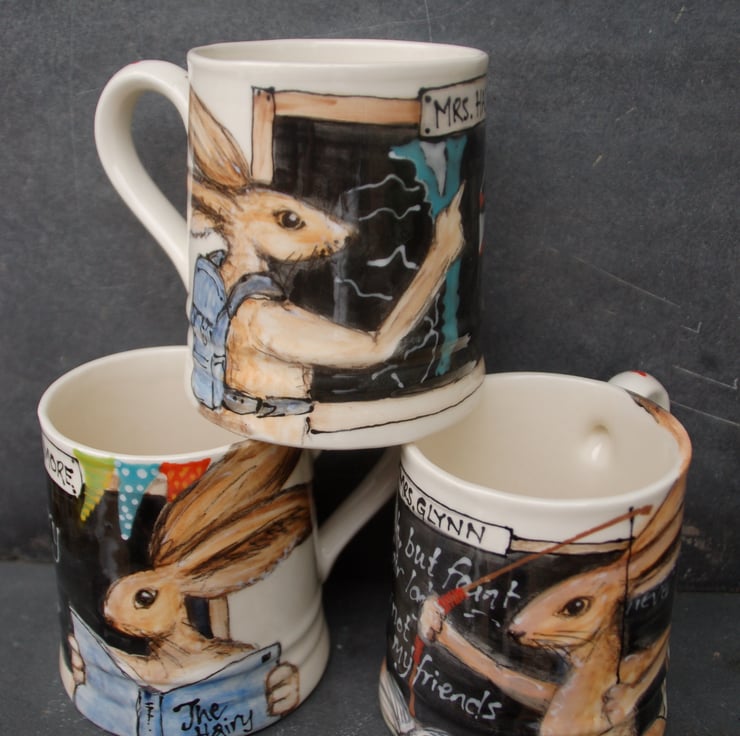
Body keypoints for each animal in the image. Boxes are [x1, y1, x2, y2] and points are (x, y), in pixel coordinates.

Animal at [187, 91, 467, 411]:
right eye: (290, 219)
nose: (346, 234)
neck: (239, 271)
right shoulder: (269, 319)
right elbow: (375, 346)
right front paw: (448, 232)